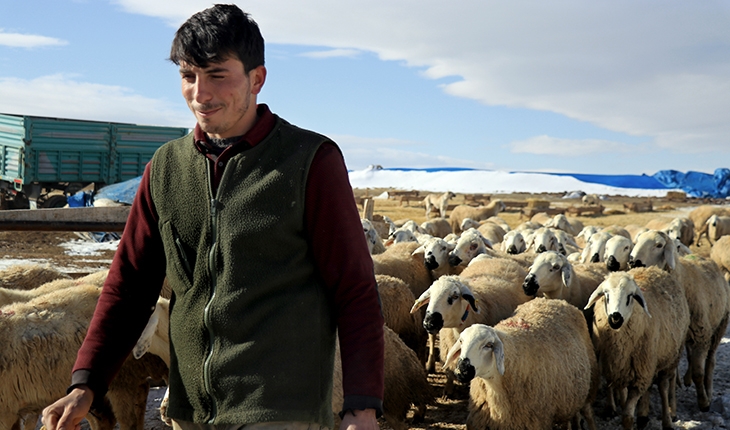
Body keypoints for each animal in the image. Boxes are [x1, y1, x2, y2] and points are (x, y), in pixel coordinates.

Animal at [444, 298, 596, 430]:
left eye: (488, 345)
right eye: (461, 341)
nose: (461, 371)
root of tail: (556, 300)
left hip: (590, 384)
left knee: (588, 413)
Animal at [584, 268, 688, 428]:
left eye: (630, 296)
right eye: (606, 295)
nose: (615, 318)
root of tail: (654, 269)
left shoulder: (641, 377)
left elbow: (627, 416)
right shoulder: (613, 366)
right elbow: (614, 388)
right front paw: (612, 409)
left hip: (669, 358)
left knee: (663, 387)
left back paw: (667, 420)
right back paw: (643, 415)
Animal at [624, 230, 728, 412]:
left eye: (659, 245)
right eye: (636, 241)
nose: (633, 262)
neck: (683, 280)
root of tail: (703, 257)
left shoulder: (701, 335)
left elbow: (699, 372)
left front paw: (703, 402)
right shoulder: (675, 340)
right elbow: (674, 373)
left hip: (720, 324)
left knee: (710, 361)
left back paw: (708, 390)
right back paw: (686, 379)